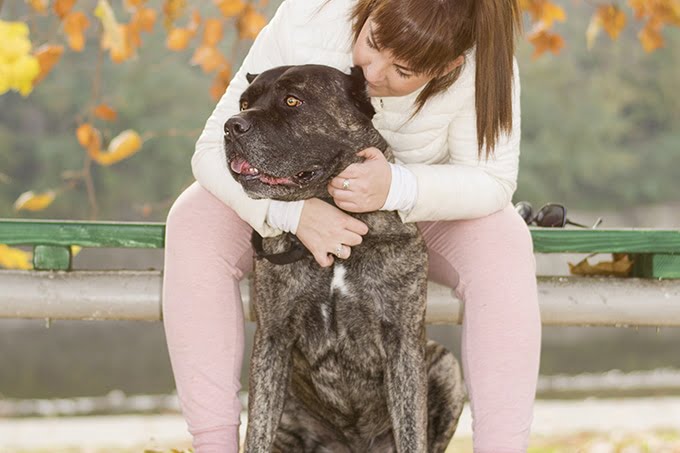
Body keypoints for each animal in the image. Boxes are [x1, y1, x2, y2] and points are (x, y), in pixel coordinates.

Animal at [226, 64, 464, 452]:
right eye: (244, 103)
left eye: (293, 100)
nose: (232, 125)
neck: (337, 215)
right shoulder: (272, 338)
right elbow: (257, 430)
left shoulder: (402, 342)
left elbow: (411, 430)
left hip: (447, 368)